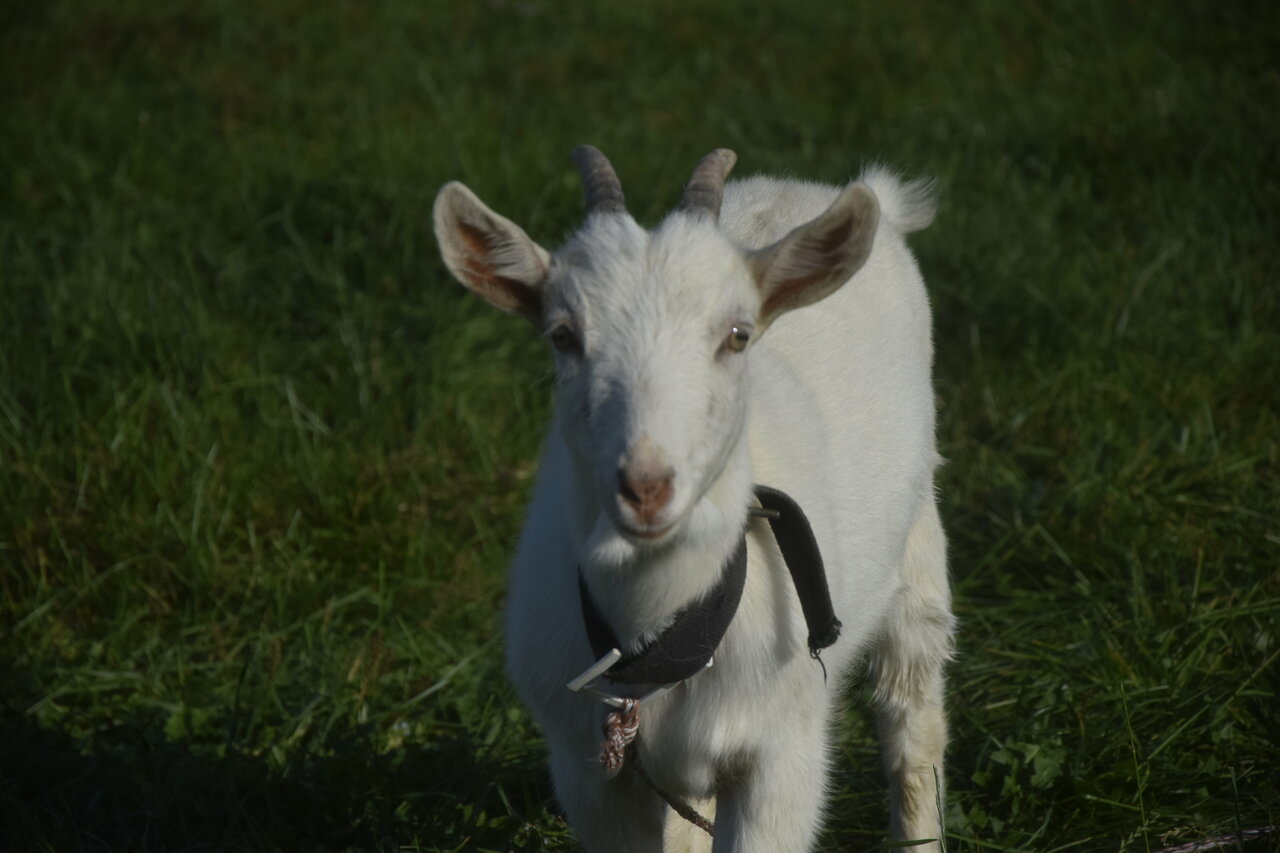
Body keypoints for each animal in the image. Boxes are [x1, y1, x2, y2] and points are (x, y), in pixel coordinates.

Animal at [433, 146, 955, 853]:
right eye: (562, 335)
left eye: (737, 334)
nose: (646, 485)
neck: (661, 641)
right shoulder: (587, 770)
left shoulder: (780, 761)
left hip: (920, 544)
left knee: (913, 721)